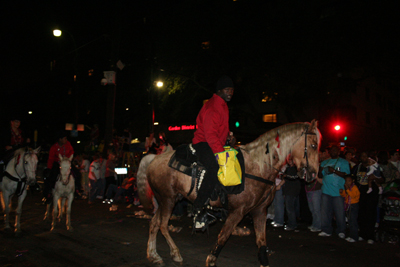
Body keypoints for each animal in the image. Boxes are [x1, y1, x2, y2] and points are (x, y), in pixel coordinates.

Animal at [138, 122, 322, 267]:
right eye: (314, 145)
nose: (313, 174)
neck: (258, 166)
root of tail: (154, 158)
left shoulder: (260, 211)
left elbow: (261, 241)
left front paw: (264, 261)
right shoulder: (237, 212)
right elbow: (223, 237)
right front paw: (211, 260)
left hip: (166, 200)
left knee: (154, 224)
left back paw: (154, 256)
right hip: (168, 199)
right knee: (162, 225)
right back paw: (175, 254)